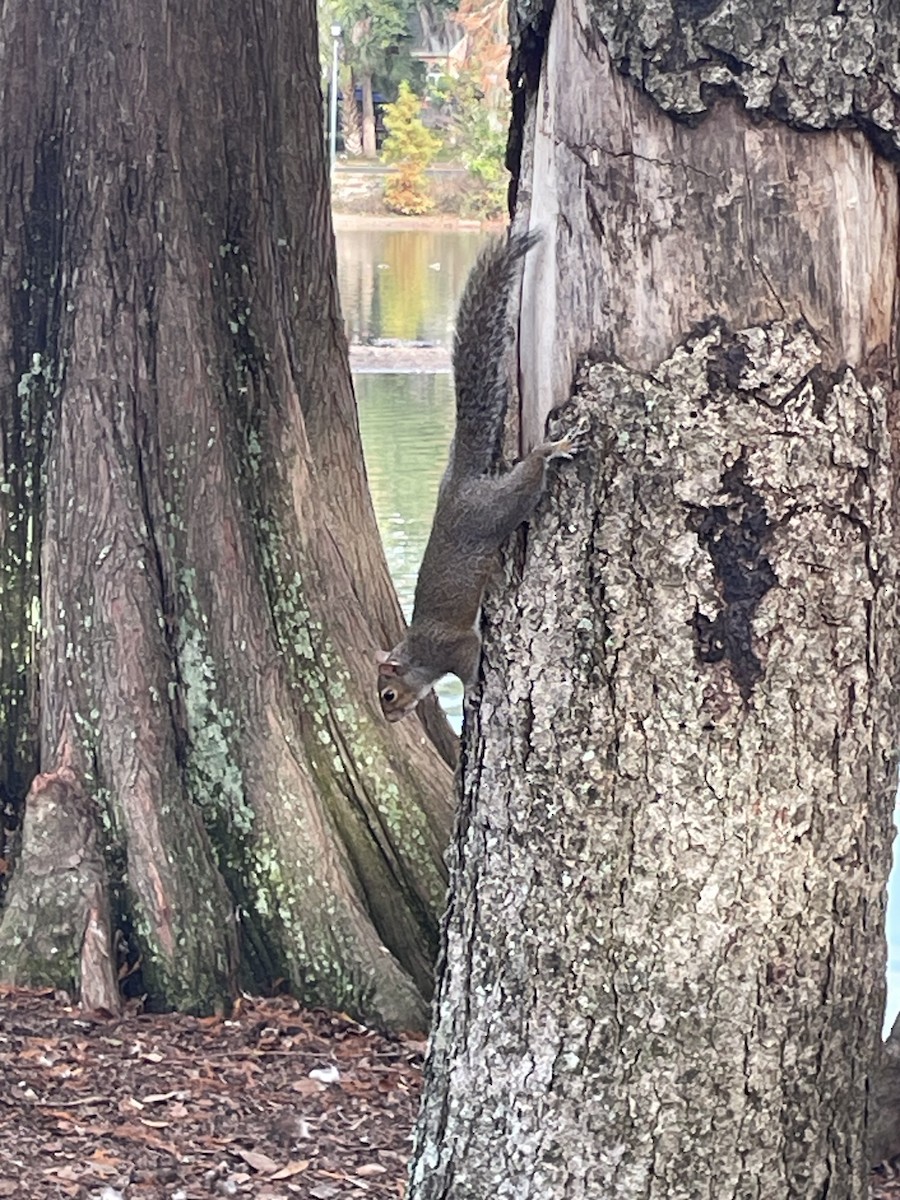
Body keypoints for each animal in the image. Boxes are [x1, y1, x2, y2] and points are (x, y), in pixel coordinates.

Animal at [376, 231, 582, 722]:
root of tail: (460, 485)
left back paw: (553, 449)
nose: (390, 719)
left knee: (530, 472)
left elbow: (469, 663)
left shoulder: (456, 648)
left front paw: (471, 692)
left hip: (500, 506)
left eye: (388, 695)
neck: (418, 656)